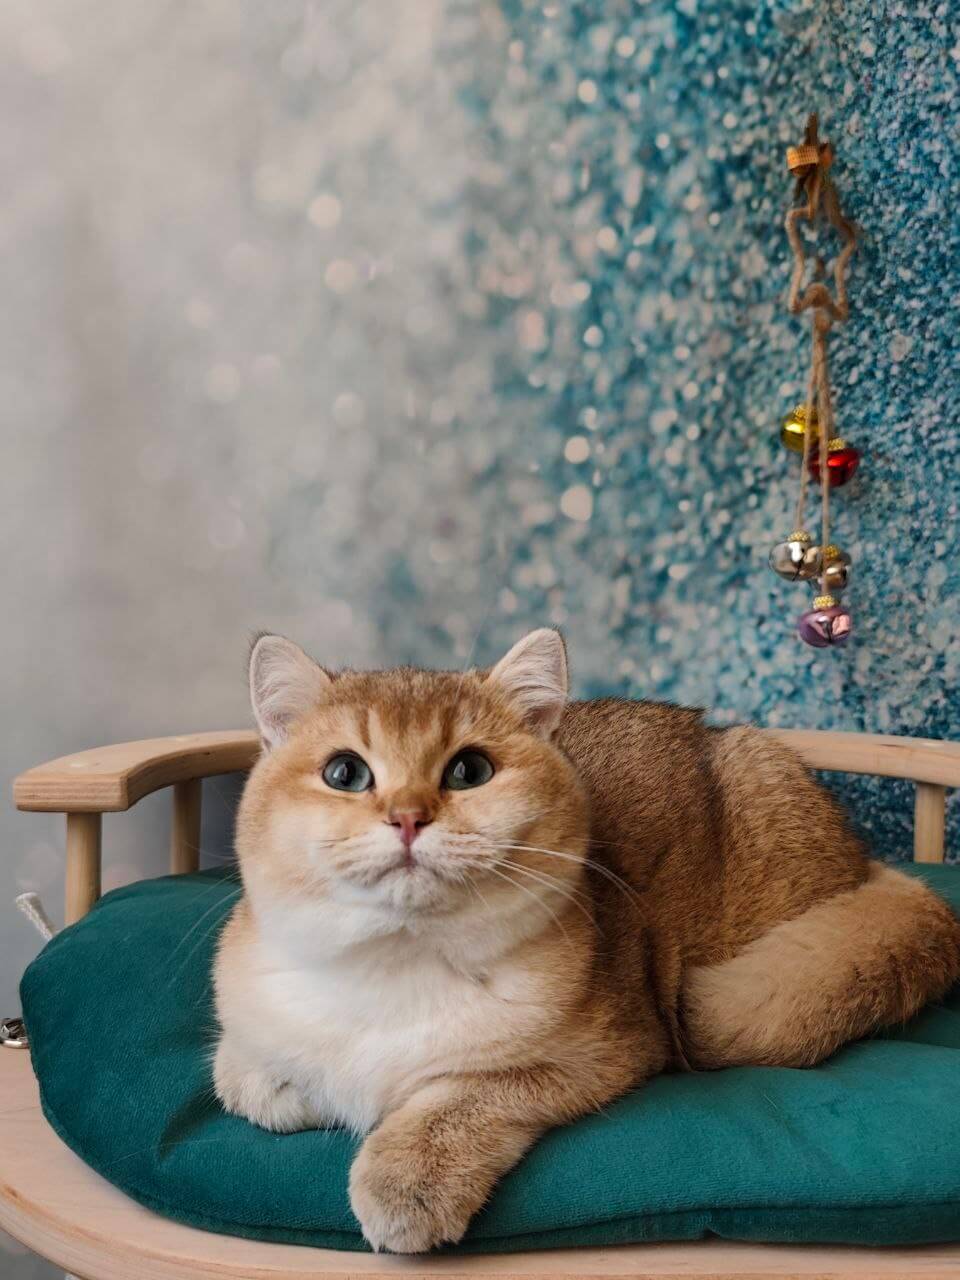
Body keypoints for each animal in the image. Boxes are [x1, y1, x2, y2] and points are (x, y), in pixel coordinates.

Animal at [213, 628, 960, 1253]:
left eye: (469, 772)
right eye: (345, 773)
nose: (407, 817)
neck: (397, 964)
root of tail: (870, 863)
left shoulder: (604, 1054)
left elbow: (463, 1096)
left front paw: (406, 1177)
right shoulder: (247, 1033)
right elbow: (246, 1083)